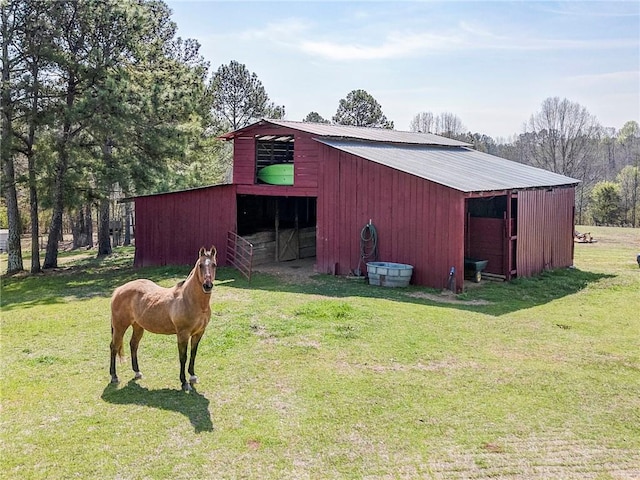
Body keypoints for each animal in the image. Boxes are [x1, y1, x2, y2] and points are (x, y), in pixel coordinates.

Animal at [110, 248, 218, 390]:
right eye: (200, 265)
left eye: (214, 265)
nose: (207, 285)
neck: (190, 300)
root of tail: (118, 290)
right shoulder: (183, 334)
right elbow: (183, 357)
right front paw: (184, 382)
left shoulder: (199, 333)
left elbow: (193, 354)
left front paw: (193, 376)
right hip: (119, 327)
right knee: (114, 347)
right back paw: (114, 376)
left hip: (138, 326)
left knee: (133, 345)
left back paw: (137, 372)